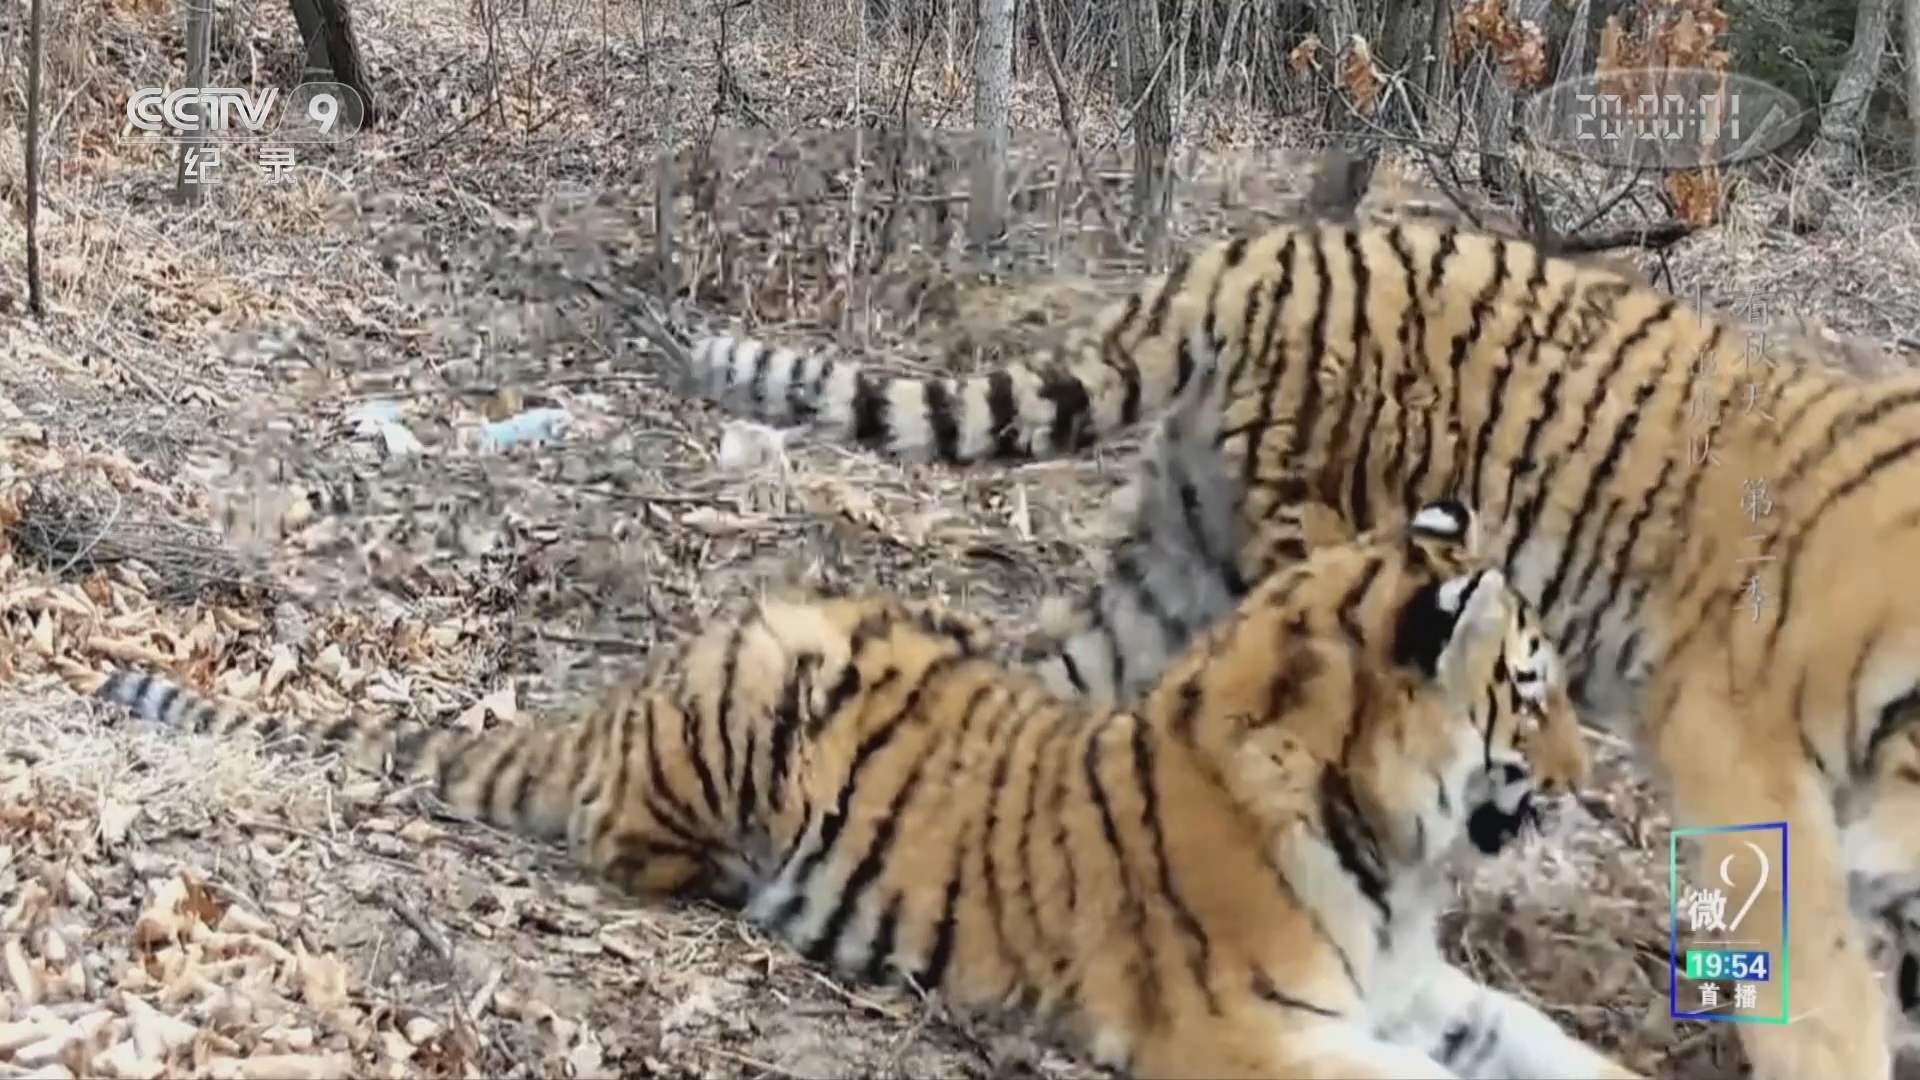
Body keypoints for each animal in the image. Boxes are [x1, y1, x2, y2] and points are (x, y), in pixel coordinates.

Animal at [86, 501, 1641, 1080]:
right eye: (1533, 689)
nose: (1586, 790)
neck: (1396, 850)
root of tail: (644, 677)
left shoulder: (1414, 989)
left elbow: (1543, 1038)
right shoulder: (1258, 1032)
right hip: (749, 704)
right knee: (617, 837)